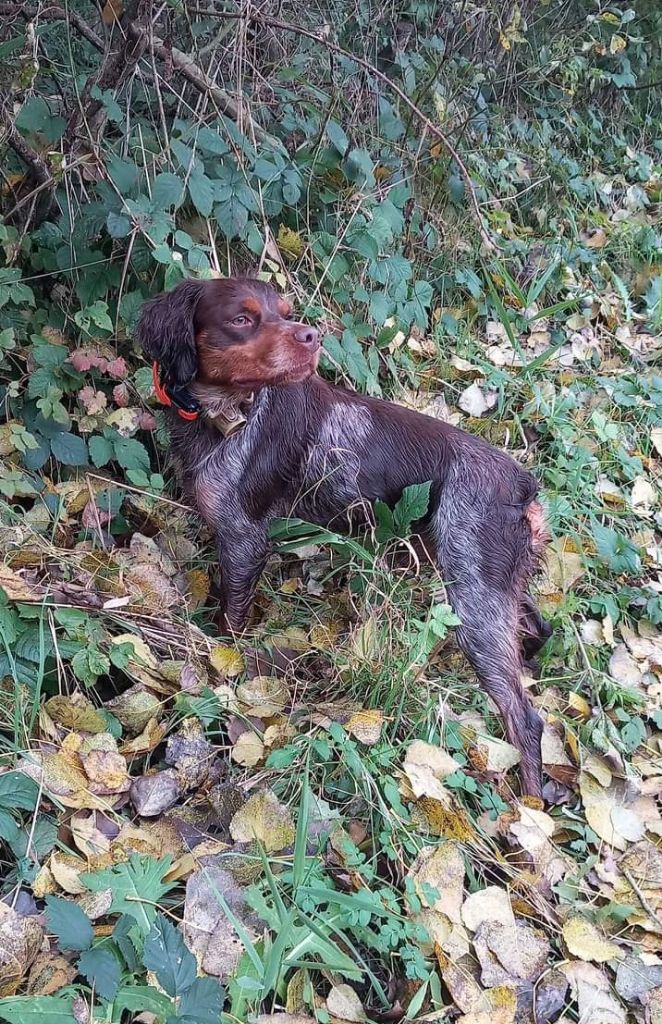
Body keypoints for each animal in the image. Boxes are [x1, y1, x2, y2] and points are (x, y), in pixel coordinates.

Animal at [137, 276, 553, 794]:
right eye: (241, 318)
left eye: (285, 312)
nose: (311, 336)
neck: (229, 415)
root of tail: (521, 484)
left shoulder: (243, 538)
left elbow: (229, 626)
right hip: (492, 578)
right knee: (539, 627)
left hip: (473, 596)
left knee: (525, 719)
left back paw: (527, 809)